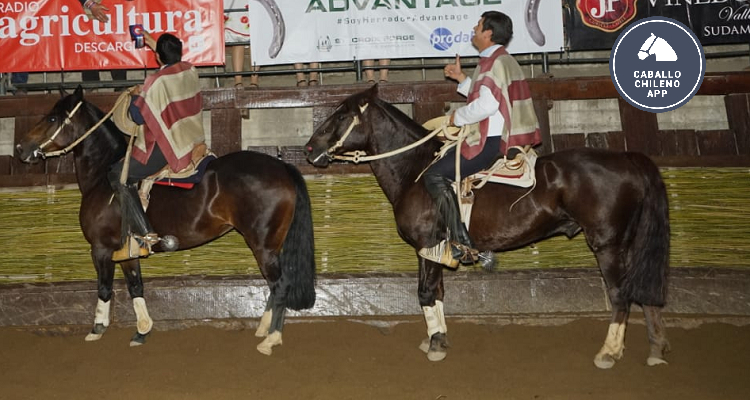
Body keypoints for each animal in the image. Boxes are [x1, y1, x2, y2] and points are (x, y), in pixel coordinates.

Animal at [16, 86, 318, 354]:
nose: (20, 148)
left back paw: (271, 339)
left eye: (52, 118)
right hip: (270, 246)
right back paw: (264, 328)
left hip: (263, 246)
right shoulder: (126, 252)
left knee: (280, 285)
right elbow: (135, 286)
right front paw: (141, 331)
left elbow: (103, 288)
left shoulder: (100, 249)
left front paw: (97, 329)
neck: (103, 177)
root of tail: (282, 167)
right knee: (274, 286)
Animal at [308, 86, 672, 368]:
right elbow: (438, 292)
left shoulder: (428, 243)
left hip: (607, 244)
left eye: (342, 115)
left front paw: (435, 344)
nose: (310, 148)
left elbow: (425, 292)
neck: (416, 171)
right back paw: (656, 348)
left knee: (620, 294)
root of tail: (628, 159)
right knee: (642, 288)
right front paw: (438, 338)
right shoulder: (438, 249)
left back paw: (609, 352)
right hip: (630, 242)